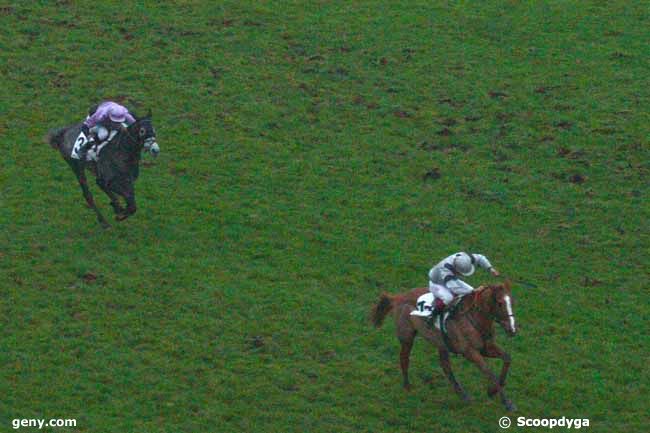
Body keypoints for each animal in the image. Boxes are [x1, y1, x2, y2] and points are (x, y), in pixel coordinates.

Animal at [370, 280, 516, 408]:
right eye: (500, 303)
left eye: (511, 302)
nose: (512, 329)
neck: (474, 319)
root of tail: (398, 297)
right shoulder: (469, 352)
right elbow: (489, 372)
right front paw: (507, 402)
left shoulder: (486, 348)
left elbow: (507, 358)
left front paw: (492, 391)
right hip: (407, 337)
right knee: (404, 359)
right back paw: (407, 386)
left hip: (441, 344)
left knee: (446, 367)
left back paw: (462, 395)